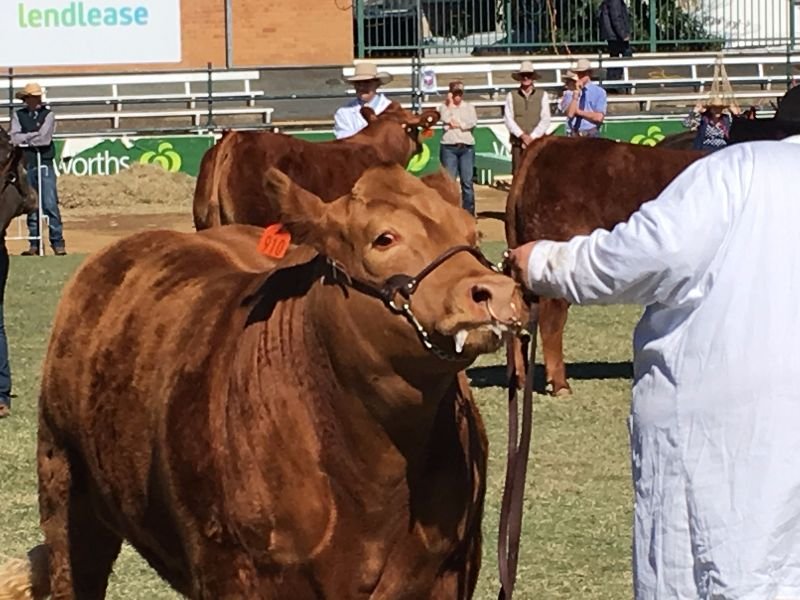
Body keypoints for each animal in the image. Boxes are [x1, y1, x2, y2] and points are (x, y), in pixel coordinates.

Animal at [0, 165, 524, 599]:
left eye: (471, 231)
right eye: (383, 238)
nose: (495, 291)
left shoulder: (452, 566)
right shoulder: (234, 570)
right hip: (65, 490)